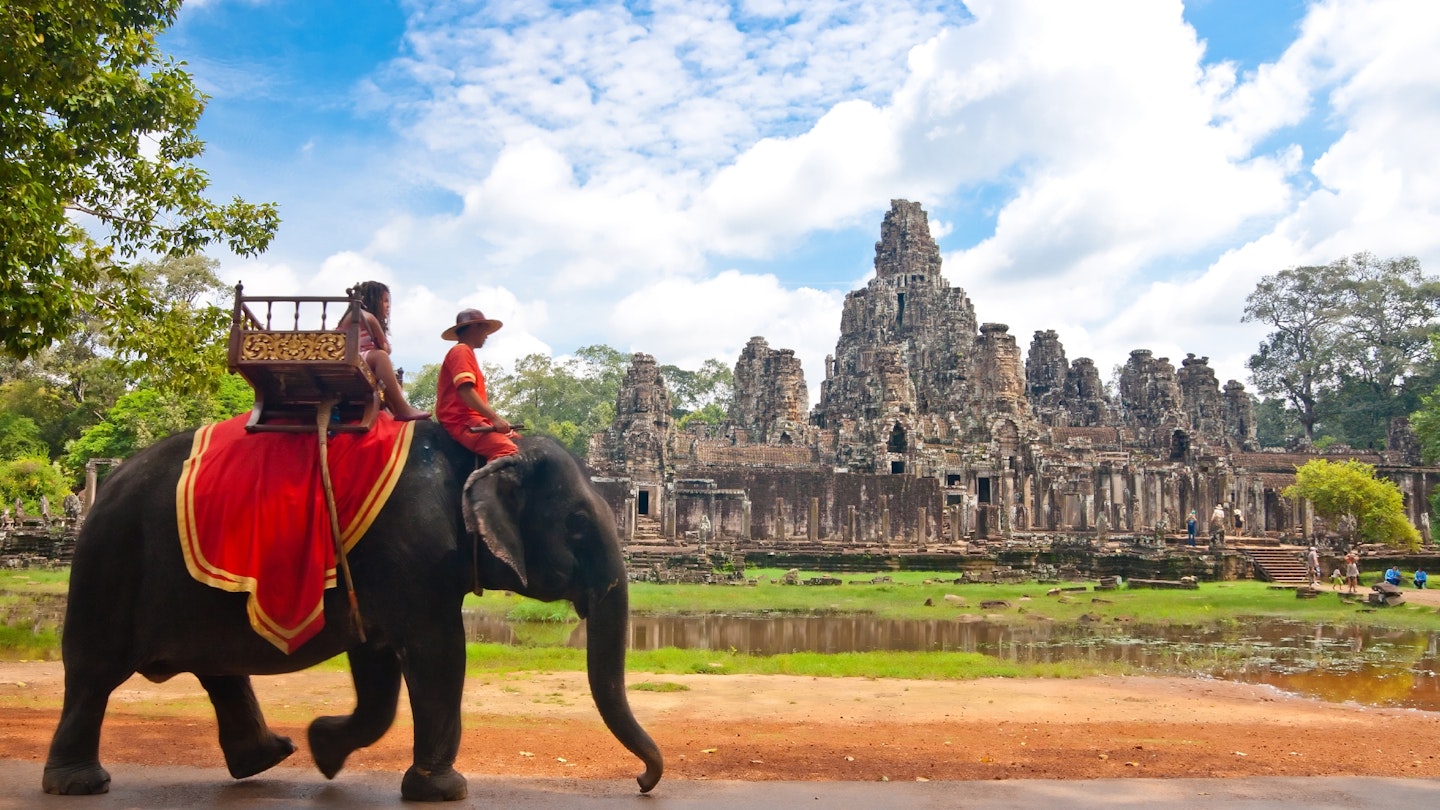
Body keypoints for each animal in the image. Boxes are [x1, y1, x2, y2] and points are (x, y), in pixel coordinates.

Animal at [42, 421, 663, 800]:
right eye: (577, 523)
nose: (641, 781)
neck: (481, 448)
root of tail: (108, 483)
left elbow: (379, 669)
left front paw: (325, 749)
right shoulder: (413, 551)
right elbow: (439, 652)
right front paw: (444, 791)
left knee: (217, 671)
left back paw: (268, 758)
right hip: (111, 563)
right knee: (93, 672)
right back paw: (80, 784)